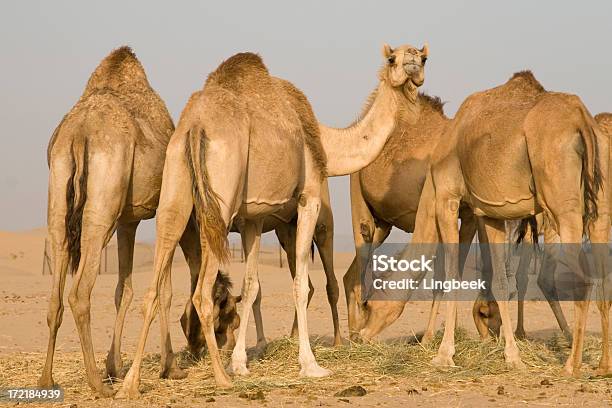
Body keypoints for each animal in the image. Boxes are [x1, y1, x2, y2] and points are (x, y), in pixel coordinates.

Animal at [38, 46, 241, 396]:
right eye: (226, 312)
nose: (225, 343)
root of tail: (79, 132)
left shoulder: (127, 221)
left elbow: (125, 290)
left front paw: (116, 367)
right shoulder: (166, 211)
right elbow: (166, 290)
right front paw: (170, 368)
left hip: (60, 193)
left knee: (56, 290)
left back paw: (47, 380)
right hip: (102, 205)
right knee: (79, 292)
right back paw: (97, 384)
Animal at [117, 42, 428, 396]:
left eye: (422, 56)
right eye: (392, 58)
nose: (413, 62)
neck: (324, 141)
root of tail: (195, 126)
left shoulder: (252, 218)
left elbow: (251, 285)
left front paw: (241, 363)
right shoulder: (309, 198)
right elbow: (300, 283)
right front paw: (310, 366)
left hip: (174, 186)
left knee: (154, 285)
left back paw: (130, 384)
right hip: (222, 199)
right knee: (202, 293)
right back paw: (220, 377)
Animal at [340, 93, 478, 342]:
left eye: (372, 307)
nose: (365, 335)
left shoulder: (469, 214)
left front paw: (435, 338)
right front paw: (430, 339)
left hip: (383, 224)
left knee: (352, 272)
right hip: (357, 189)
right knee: (361, 253)